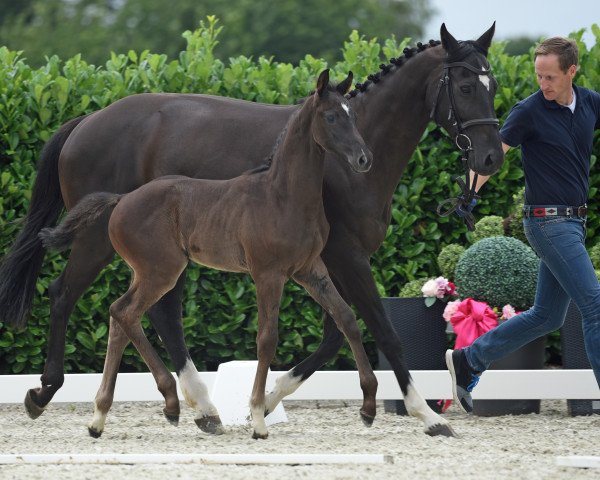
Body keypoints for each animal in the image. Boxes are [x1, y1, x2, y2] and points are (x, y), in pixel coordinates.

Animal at [41, 69, 376, 440]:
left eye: (353, 114)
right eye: (330, 117)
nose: (364, 159)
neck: (282, 195)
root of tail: (120, 199)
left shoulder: (310, 270)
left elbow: (346, 318)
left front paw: (368, 408)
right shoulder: (268, 274)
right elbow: (267, 339)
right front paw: (258, 417)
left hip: (146, 272)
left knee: (120, 317)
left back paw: (103, 417)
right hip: (162, 271)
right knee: (124, 312)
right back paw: (170, 404)